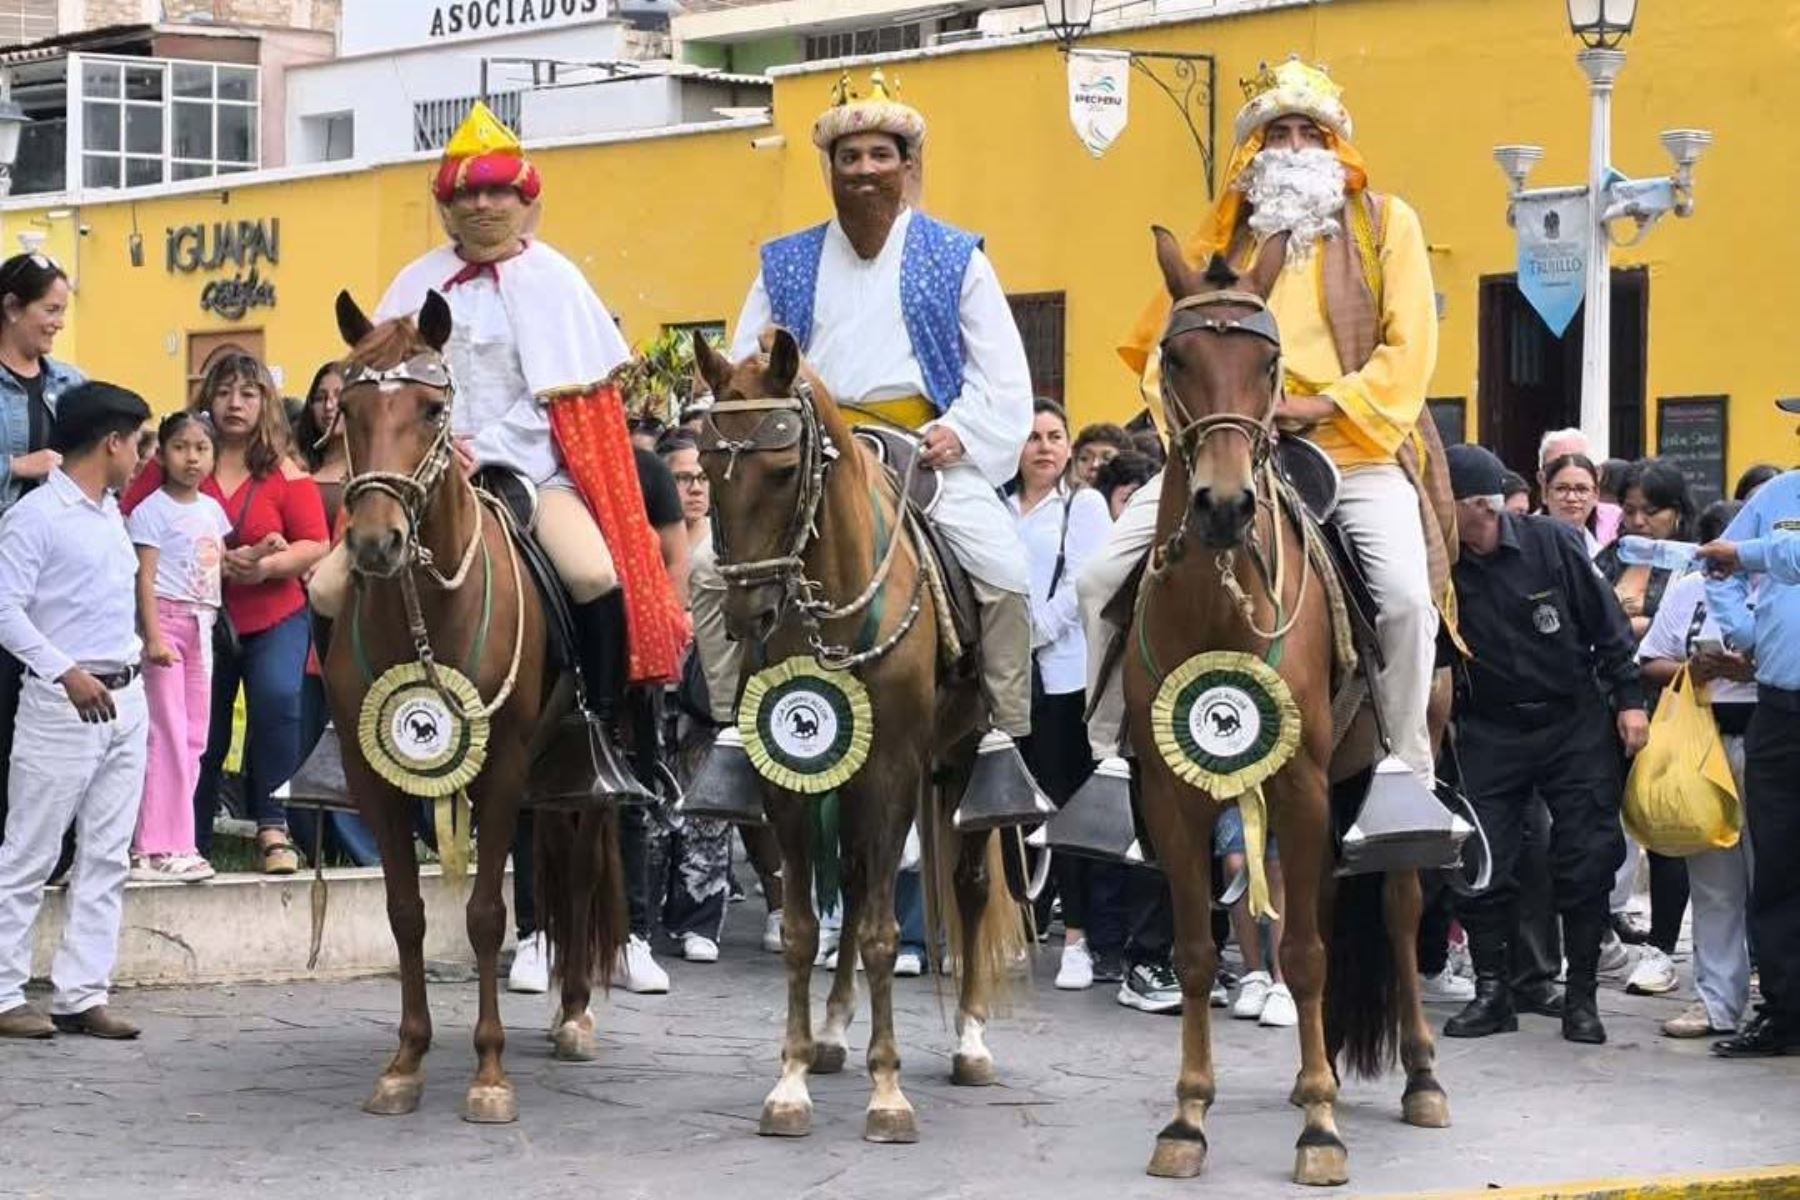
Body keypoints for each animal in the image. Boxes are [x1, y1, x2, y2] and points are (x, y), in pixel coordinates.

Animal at [327, 293, 630, 1129]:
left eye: (432, 409)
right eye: (346, 409)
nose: (376, 543)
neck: (427, 609)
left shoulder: (501, 767)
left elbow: (487, 915)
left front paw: (489, 1074)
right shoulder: (373, 776)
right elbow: (406, 911)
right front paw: (405, 1062)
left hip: (577, 778)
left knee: (581, 874)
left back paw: (574, 1014)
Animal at [691, 329, 1029, 1144]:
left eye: (784, 469)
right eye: (710, 467)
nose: (749, 614)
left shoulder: (892, 773)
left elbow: (879, 927)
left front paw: (889, 1091)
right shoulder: (790, 781)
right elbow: (804, 926)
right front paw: (789, 1080)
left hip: (960, 761)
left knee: (969, 887)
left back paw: (970, 1040)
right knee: (846, 878)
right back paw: (835, 1033)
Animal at [1130, 230, 1454, 1187]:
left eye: (1267, 361)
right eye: (1176, 357)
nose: (1225, 505)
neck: (1216, 604)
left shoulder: (1305, 784)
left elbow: (1305, 954)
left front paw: (1319, 1131)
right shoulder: (1171, 792)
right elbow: (1198, 952)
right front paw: (1188, 1117)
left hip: (1389, 766)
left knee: (1396, 909)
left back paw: (1418, 1077)